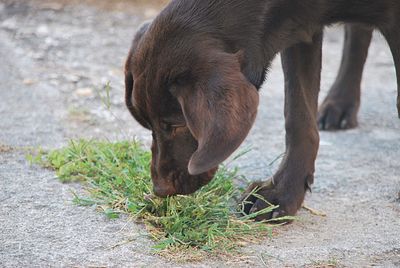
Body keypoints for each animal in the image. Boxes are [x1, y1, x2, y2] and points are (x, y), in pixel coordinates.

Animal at [125, 0, 400, 220]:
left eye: (177, 124)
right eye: (148, 125)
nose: (160, 190)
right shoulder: (301, 26)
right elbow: (298, 118)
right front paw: (282, 193)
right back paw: (341, 103)